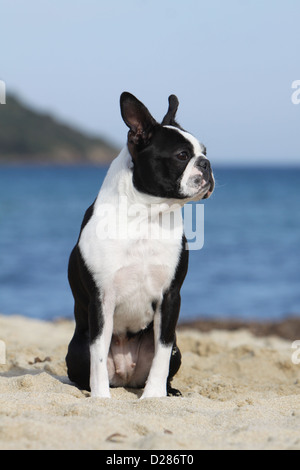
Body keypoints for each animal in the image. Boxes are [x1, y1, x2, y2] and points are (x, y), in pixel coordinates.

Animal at [66, 92, 214, 396]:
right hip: (76, 350)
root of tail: (126, 377)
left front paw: (154, 397)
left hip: (178, 349)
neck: (146, 217)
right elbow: (98, 355)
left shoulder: (170, 296)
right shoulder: (101, 298)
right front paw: (101, 398)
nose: (206, 163)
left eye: (205, 151)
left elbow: (162, 352)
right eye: (182, 155)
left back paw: (169, 391)